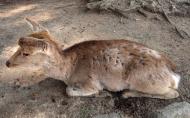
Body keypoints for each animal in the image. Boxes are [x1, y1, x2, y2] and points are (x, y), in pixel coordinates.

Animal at [5, 18, 180, 98]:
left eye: (26, 53)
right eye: (18, 47)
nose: (7, 63)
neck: (68, 72)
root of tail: (175, 74)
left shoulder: (90, 82)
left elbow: (70, 91)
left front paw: (98, 93)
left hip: (143, 80)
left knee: (173, 93)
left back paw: (127, 93)